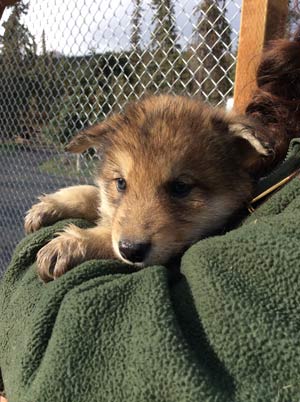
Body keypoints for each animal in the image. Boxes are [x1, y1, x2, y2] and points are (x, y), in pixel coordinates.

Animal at [24, 95, 272, 282]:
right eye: (121, 183)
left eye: (180, 187)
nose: (131, 250)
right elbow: (93, 195)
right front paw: (50, 205)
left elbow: (107, 235)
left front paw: (70, 243)